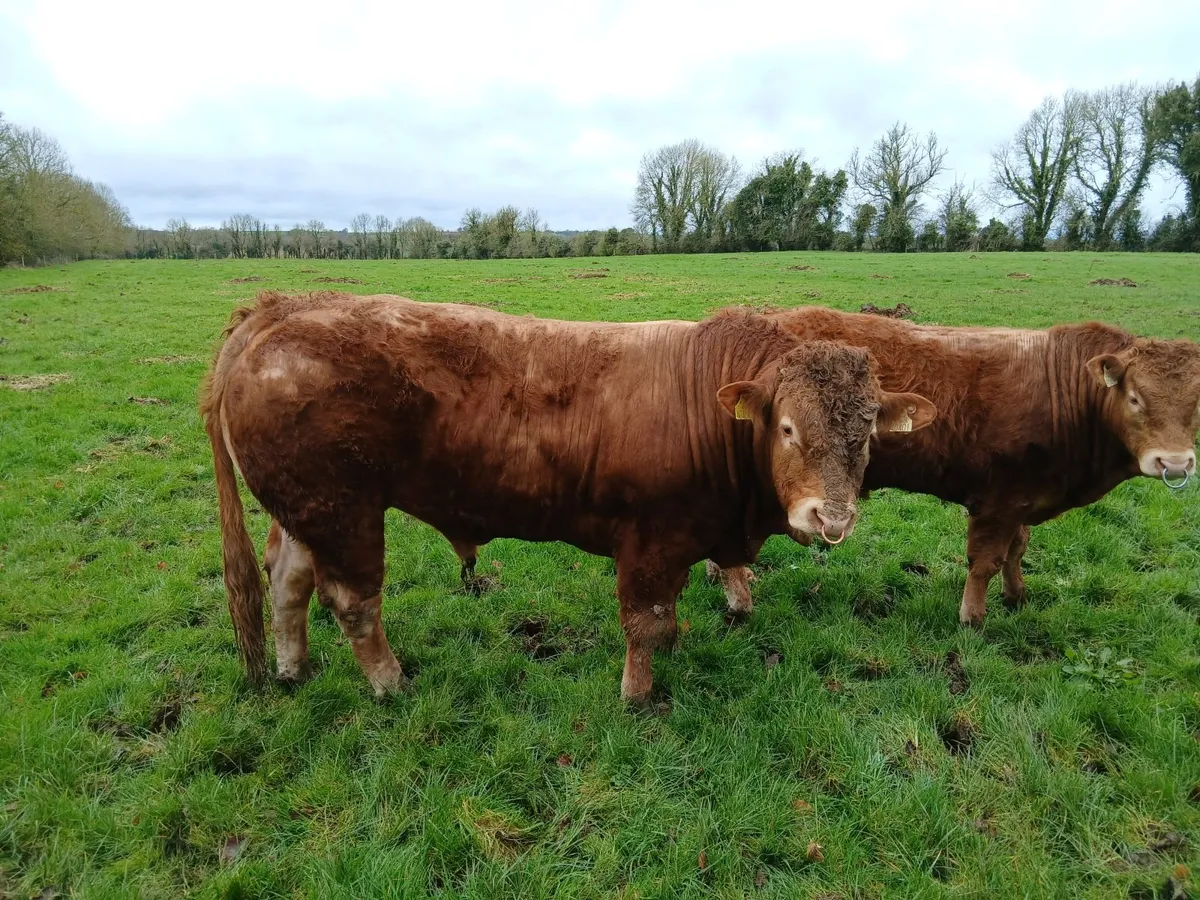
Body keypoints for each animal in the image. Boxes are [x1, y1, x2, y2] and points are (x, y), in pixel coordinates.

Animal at [201, 291, 936, 704]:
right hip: (344, 512)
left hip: (308, 512)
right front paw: (637, 695)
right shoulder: (649, 540)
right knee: (353, 603)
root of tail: (282, 310)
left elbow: (668, 616)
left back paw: (294, 669)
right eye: (786, 428)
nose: (831, 517)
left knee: (288, 580)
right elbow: (645, 621)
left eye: (868, 434)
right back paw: (389, 684)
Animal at [705, 305, 1200, 626]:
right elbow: (984, 560)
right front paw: (973, 618)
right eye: (1135, 398)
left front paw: (1016, 596)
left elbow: (1017, 550)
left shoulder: (1024, 498)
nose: (1175, 462)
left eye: (1196, 404)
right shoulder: (999, 502)